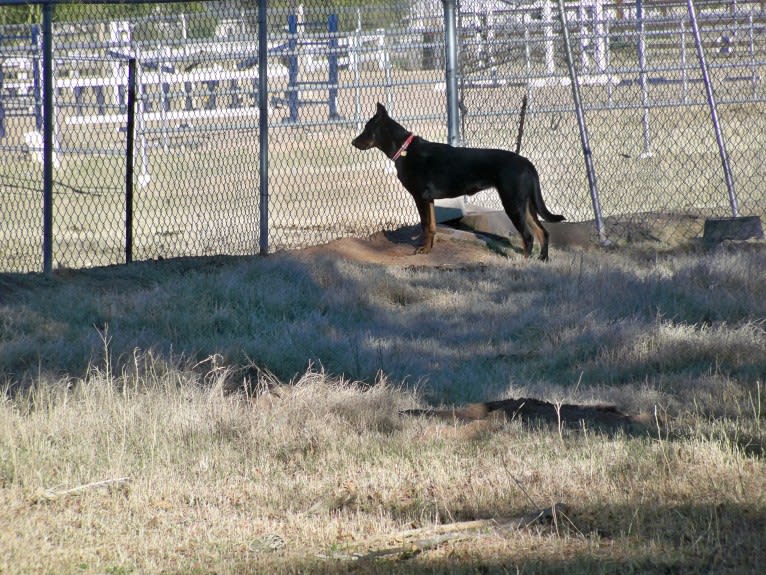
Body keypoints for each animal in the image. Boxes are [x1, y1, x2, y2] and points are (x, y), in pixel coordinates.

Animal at [352, 103, 564, 260]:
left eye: (367, 129)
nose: (353, 142)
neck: (405, 149)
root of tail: (527, 163)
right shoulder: (429, 199)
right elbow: (432, 226)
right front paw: (428, 250)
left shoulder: (420, 197)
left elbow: (425, 225)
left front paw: (422, 251)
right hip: (526, 204)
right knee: (543, 232)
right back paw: (542, 260)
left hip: (513, 203)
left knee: (528, 236)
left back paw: (524, 262)